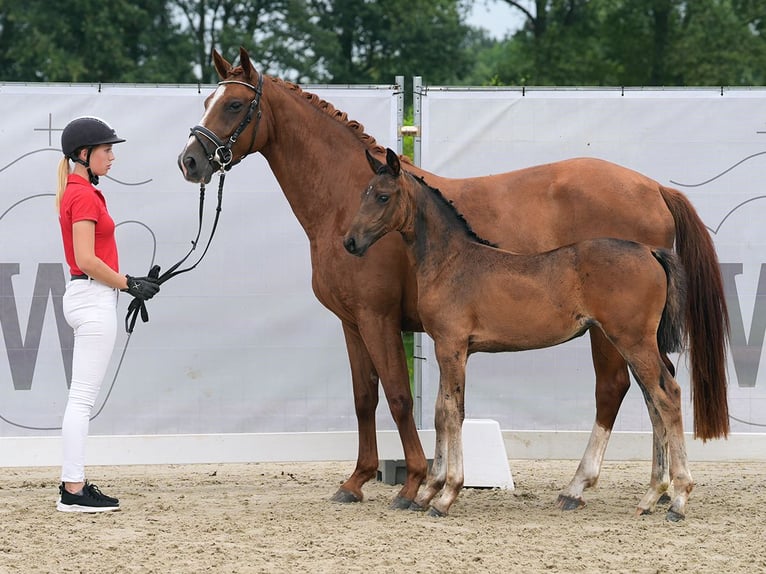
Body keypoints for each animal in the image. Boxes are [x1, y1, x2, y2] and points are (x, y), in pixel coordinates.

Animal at [344, 150, 692, 520]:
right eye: (364, 192)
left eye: (383, 196)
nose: (350, 242)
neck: (451, 262)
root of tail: (649, 252)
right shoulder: (449, 348)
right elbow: (440, 412)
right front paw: (427, 493)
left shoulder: (452, 347)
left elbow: (452, 413)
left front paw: (446, 494)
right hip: (633, 344)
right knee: (654, 400)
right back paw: (650, 496)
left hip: (633, 341)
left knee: (668, 396)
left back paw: (678, 499)